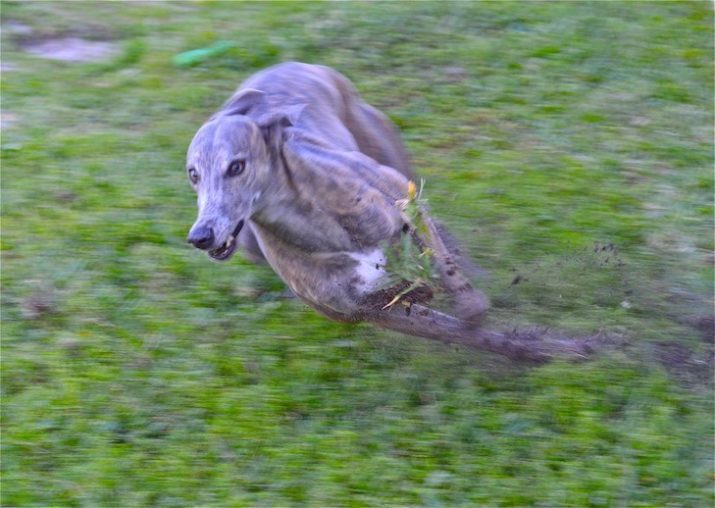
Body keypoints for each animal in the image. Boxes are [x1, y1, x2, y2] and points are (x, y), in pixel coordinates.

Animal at [186, 62, 592, 362]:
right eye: (193, 174)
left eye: (237, 166)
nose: (200, 237)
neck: (315, 225)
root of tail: (284, 65)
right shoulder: (369, 309)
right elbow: (474, 335)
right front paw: (544, 351)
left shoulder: (402, 202)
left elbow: (453, 283)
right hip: (250, 245)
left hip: (392, 160)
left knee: (441, 231)